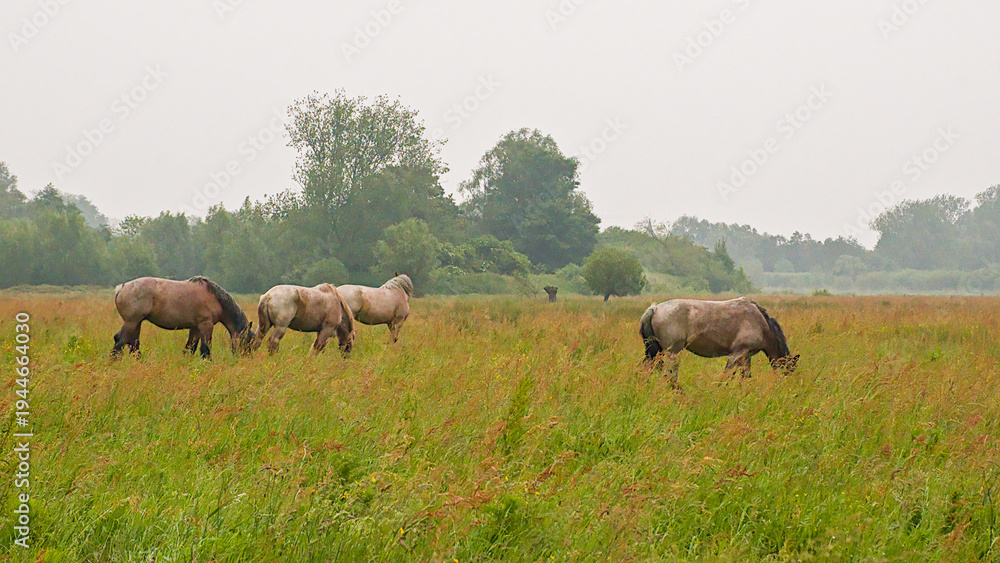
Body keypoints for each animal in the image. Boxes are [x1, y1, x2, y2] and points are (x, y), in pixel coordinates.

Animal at [112, 276, 255, 358]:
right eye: (247, 341)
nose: (246, 358)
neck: (215, 299)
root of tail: (122, 288)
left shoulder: (196, 327)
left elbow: (190, 347)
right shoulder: (206, 326)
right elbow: (205, 348)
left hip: (137, 322)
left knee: (133, 343)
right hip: (132, 322)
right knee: (120, 339)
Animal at [639, 297, 799, 388]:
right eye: (788, 371)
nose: (784, 387)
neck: (761, 324)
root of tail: (655, 308)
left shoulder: (746, 356)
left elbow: (745, 376)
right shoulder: (737, 353)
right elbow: (727, 373)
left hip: (657, 352)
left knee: (648, 368)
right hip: (671, 352)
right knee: (670, 374)